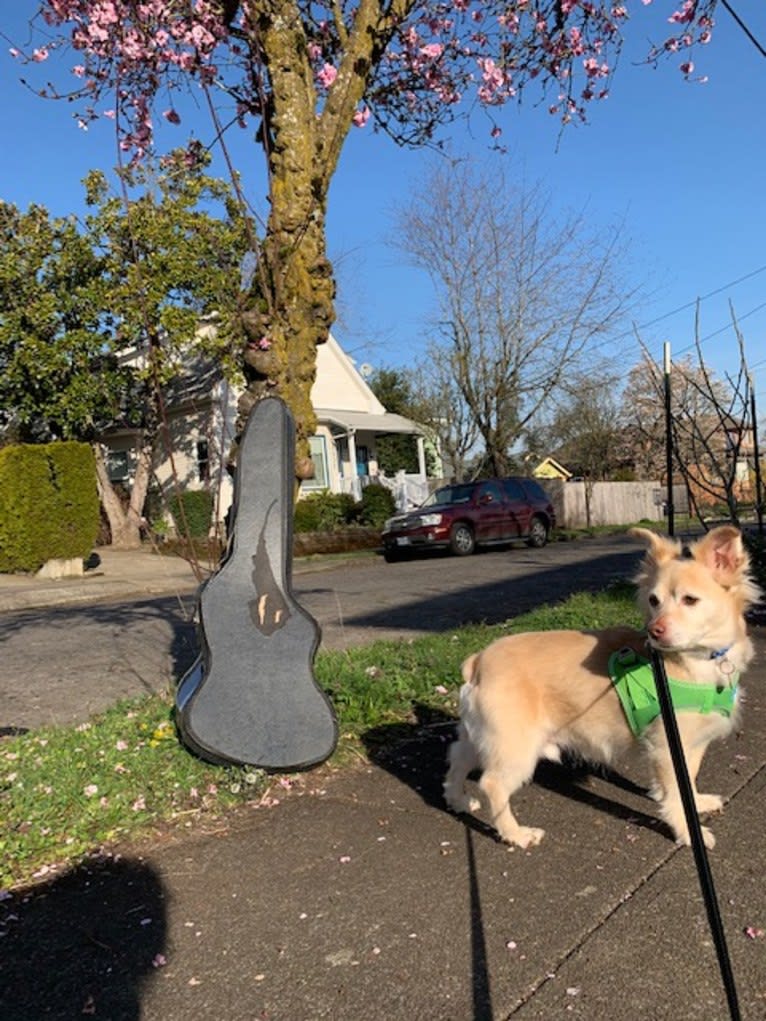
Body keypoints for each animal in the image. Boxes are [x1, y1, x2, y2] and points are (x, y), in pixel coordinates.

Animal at [443, 530, 763, 849]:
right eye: (653, 600)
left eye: (690, 600)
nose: (654, 631)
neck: (698, 661)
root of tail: (478, 662)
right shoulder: (668, 745)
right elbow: (676, 795)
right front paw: (688, 832)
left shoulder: (689, 744)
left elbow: (688, 780)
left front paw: (697, 802)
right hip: (515, 748)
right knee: (492, 784)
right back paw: (516, 834)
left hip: (481, 738)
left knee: (457, 760)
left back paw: (458, 801)